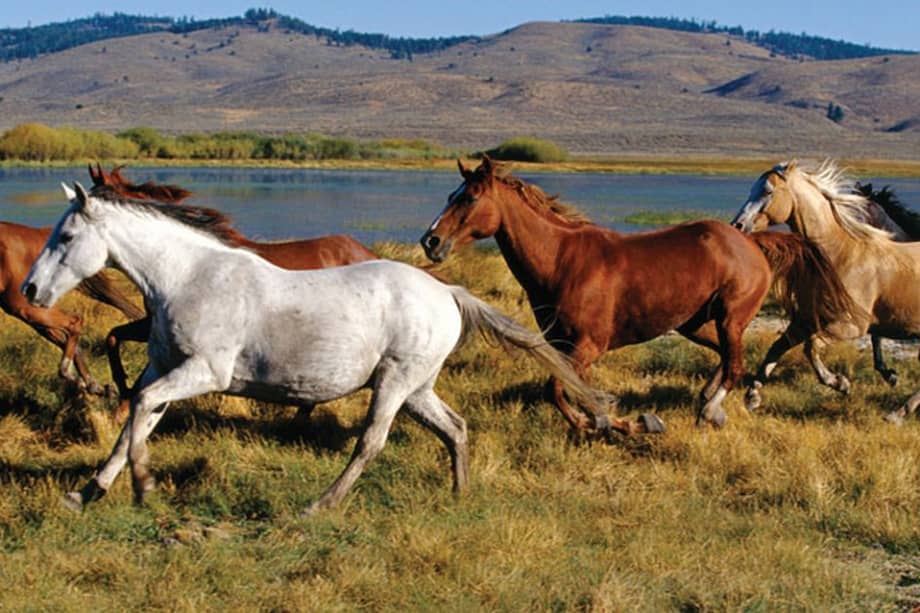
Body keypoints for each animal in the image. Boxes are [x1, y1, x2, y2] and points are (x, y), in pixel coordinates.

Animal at [87, 164, 378, 422]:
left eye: (102, 196)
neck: (185, 260)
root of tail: (368, 254)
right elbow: (114, 337)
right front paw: (121, 398)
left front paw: (122, 404)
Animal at [419, 157, 857, 431]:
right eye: (449, 196)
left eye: (469, 197)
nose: (431, 241)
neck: (562, 261)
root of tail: (751, 241)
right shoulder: (563, 346)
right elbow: (575, 394)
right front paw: (608, 423)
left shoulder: (587, 346)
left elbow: (561, 391)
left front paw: (620, 425)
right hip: (696, 324)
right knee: (724, 359)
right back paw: (706, 405)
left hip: (732, 318)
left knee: (734, 365)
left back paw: (712, 411)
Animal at [730, 160, 920, 422]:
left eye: (768, 191)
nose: (738, 225)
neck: (842, 255)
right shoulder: (806, 319)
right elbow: (777, 348)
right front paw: (752, 396)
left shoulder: (851, 325)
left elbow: (811, 348)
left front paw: (841, 383)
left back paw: (898, 413)